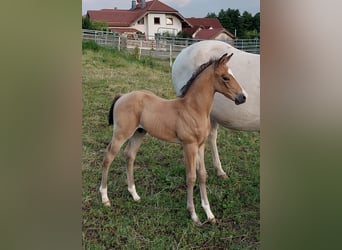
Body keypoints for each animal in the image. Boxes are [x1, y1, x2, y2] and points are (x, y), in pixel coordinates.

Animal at [99, 52, 246, 225]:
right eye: (225, 77)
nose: (242, 97)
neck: (193, 109)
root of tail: (122, 96)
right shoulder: (189, 145)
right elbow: (191, 177)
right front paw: (194, 215)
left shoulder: (200, 145)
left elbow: (202, 175)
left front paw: (209, 214)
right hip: (121, 133)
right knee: (108, 157)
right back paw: (105, 198)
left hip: (139, 132)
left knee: (129, 155)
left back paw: (134, 195)